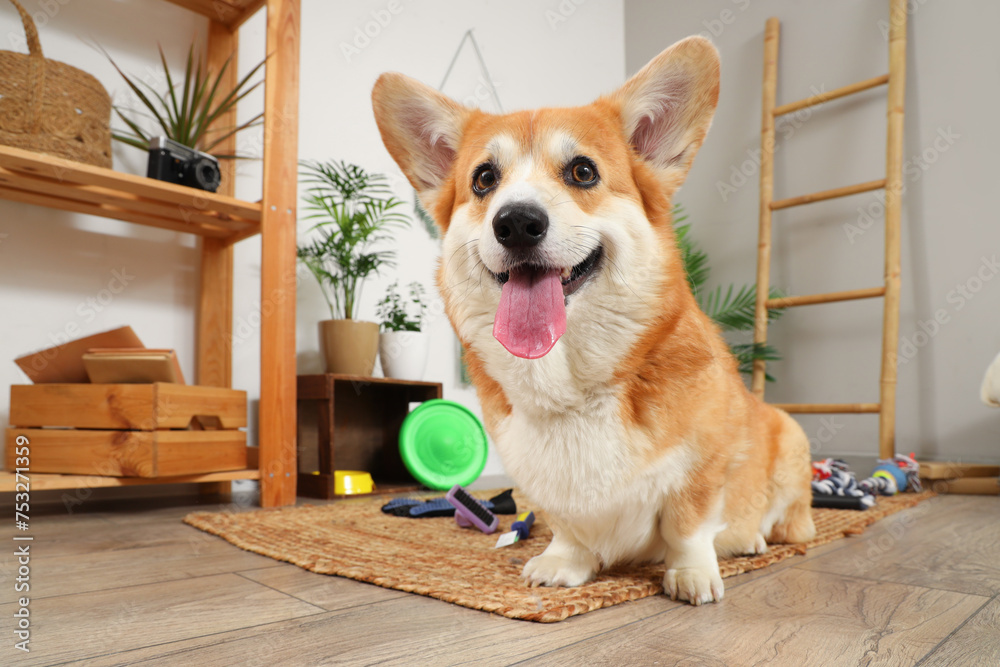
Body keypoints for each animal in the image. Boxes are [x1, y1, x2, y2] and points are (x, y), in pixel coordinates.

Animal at [372, 39, 816, 608]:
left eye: (583, 172)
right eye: (484, 179)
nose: (517, 222)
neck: (574, 387)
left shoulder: (701, 469)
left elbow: (688, 527)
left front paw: (692, 575)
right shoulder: (546, 487)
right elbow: (568, 528)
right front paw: (563, 563)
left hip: (790, 438)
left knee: (789, 522)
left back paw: (754, 539)